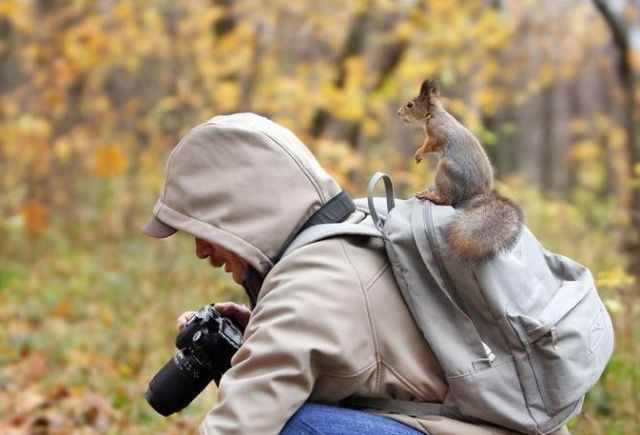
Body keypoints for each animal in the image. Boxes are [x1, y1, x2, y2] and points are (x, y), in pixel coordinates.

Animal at [396, 78, 524, 262]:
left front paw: (419, 153)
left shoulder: (437, 135)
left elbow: (429, 145)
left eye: (410, 104)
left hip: (446, 171)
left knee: (447, 200)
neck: (433, 115)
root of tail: (474, 196)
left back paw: (431, 196)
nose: (398, 113)